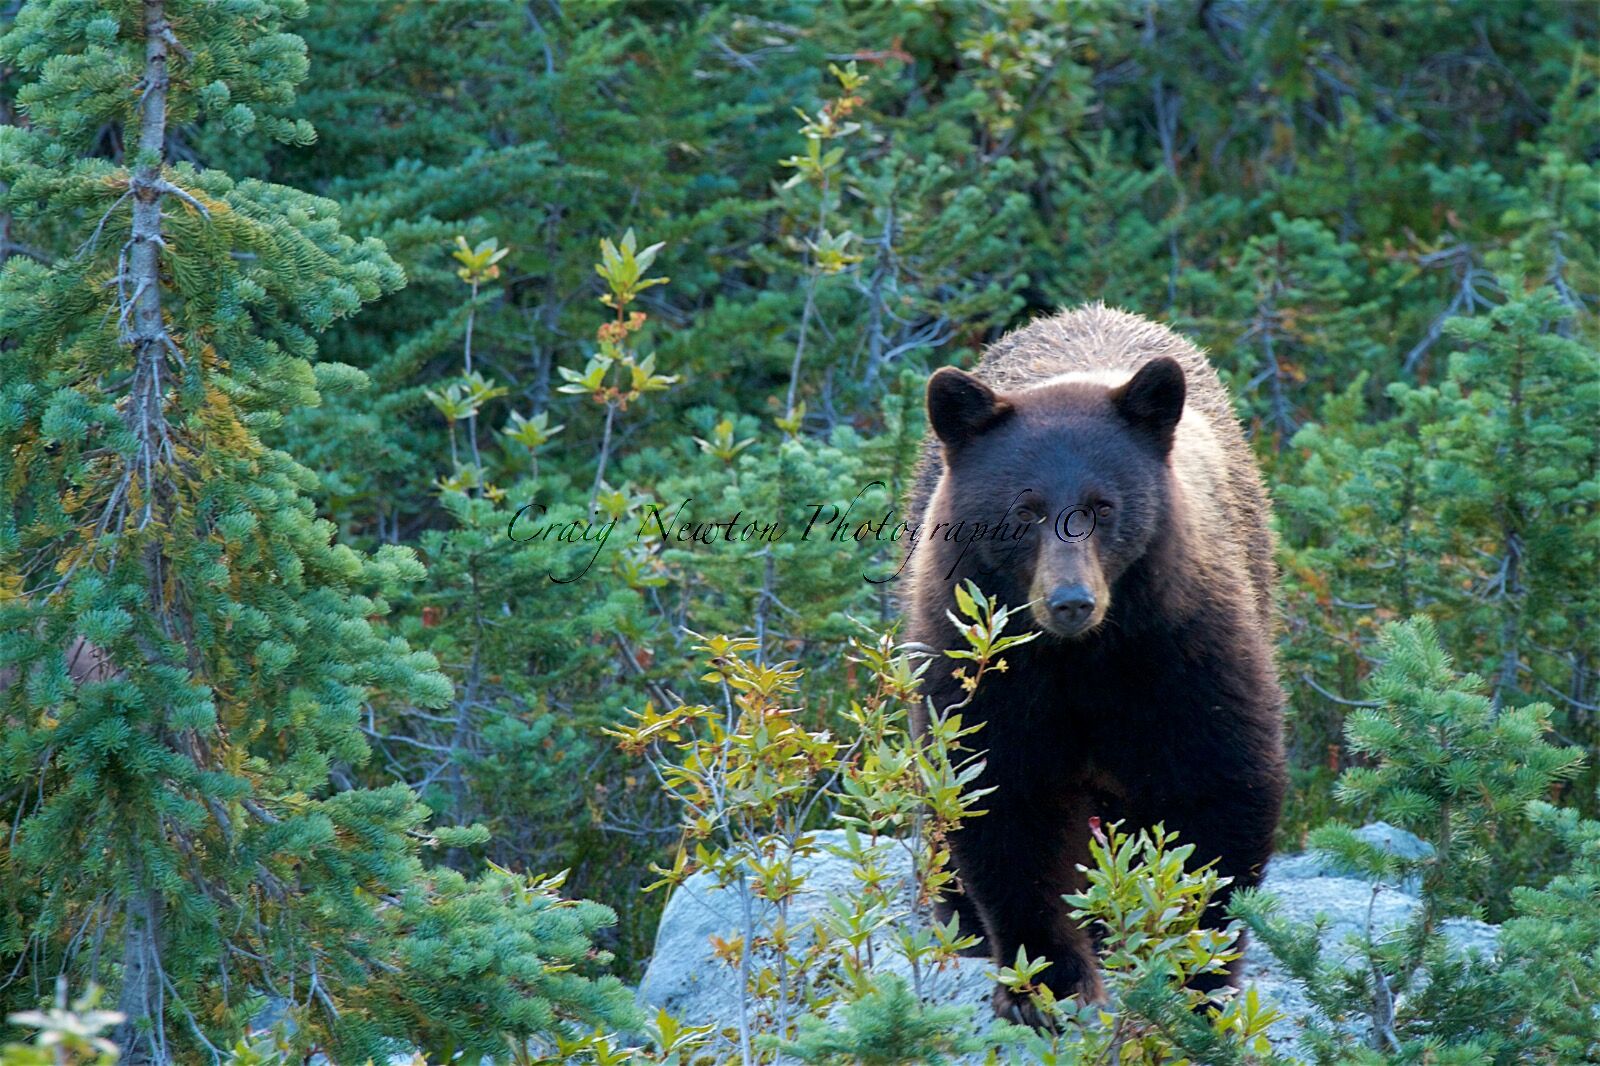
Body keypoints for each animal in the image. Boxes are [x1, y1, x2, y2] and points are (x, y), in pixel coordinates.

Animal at [903, 303, 1286, 1026]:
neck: (1081, 657)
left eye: (1103, 507)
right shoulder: (988, 661)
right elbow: (995, 788)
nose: (1071, 600)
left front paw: (1196, 973)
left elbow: (1220, 779)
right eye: (1024, 510)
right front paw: (1044, 981)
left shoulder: (1184, 644)